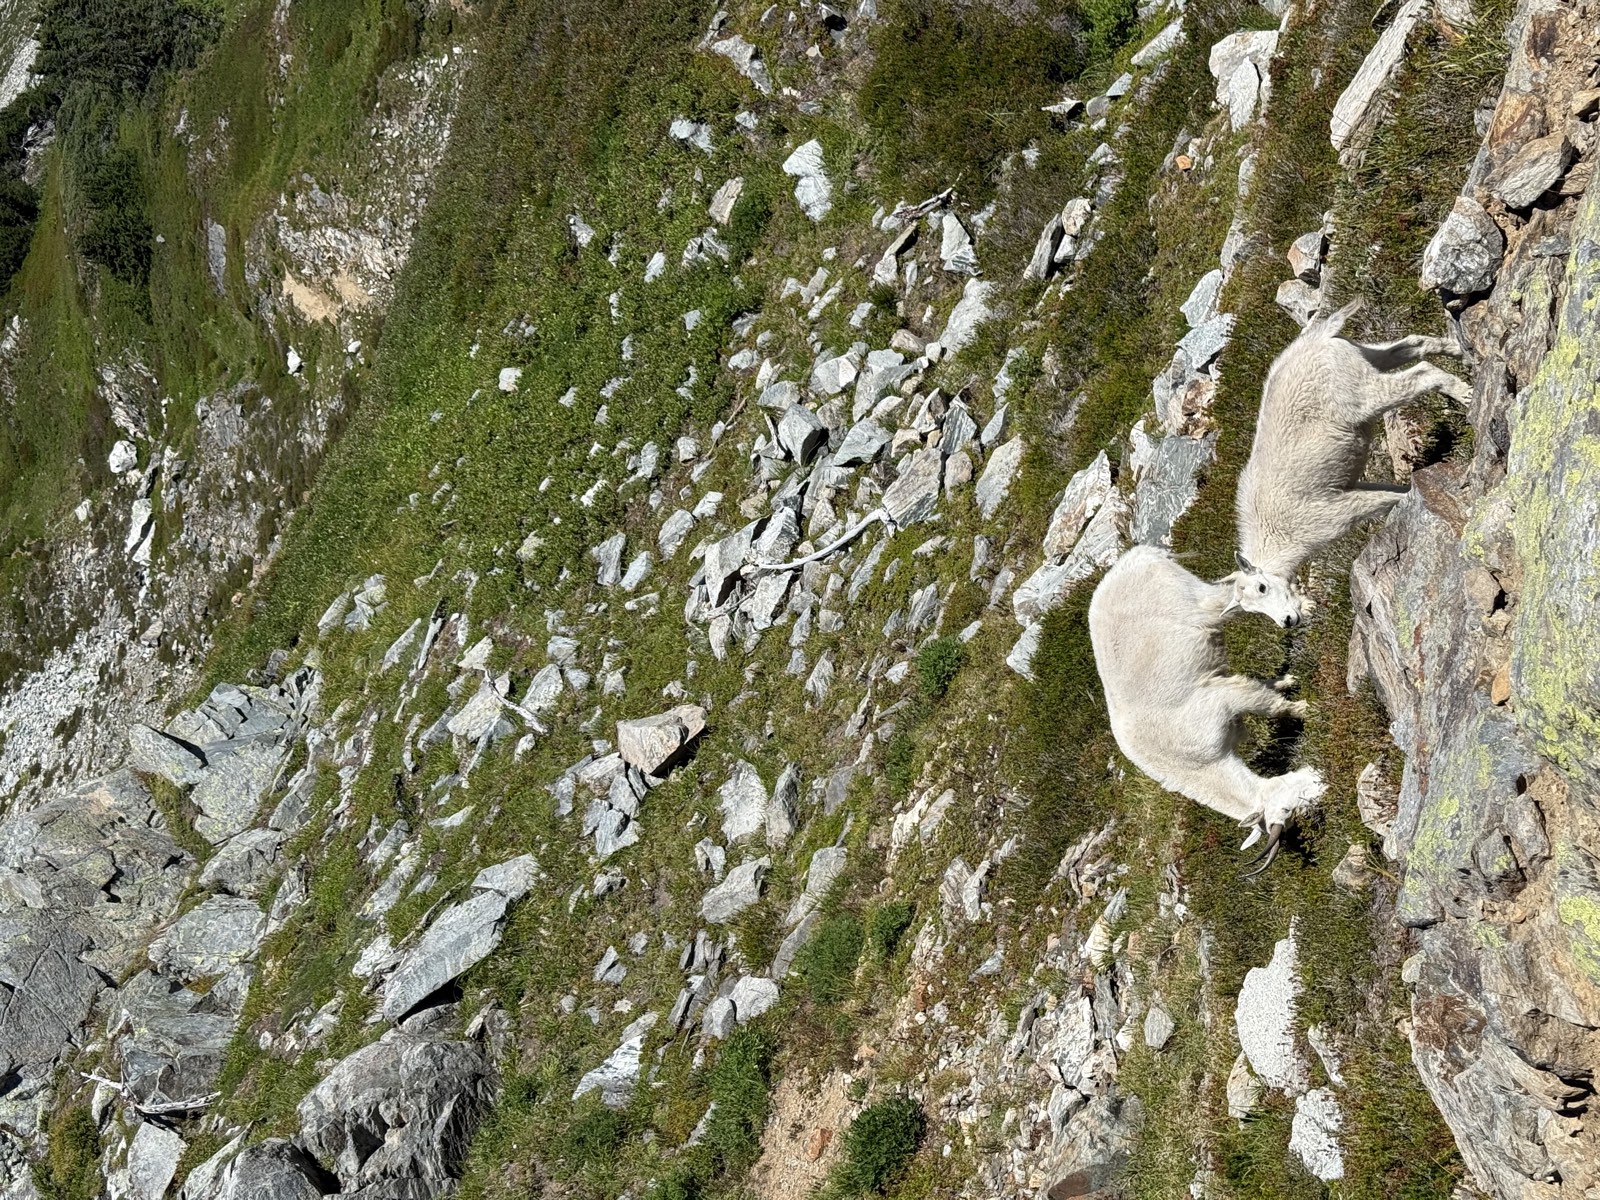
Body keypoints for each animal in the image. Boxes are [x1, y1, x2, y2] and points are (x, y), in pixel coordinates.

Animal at [1089, 545, 1325, 872]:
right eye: (1289, 813)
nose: (1320, 782)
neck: (1194, 764)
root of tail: (1132, 557)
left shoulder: (1220, 701)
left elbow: (1270, 706)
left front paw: (1307, 709)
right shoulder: (1224, 704)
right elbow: (1253, 690)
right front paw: (1286, 685)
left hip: (1193, 597)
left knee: (1226, 596)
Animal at [1236, 299, 1470, 586]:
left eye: (1261, 588)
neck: (1275, 538)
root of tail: (1319, 337)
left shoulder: (1336, 513)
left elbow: (1384, 500)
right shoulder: (1350, 488)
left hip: (1360, 392)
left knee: (1422, 372)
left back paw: (1465, 392)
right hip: (1359, 357)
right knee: (1410, 345)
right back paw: (1458, 351)